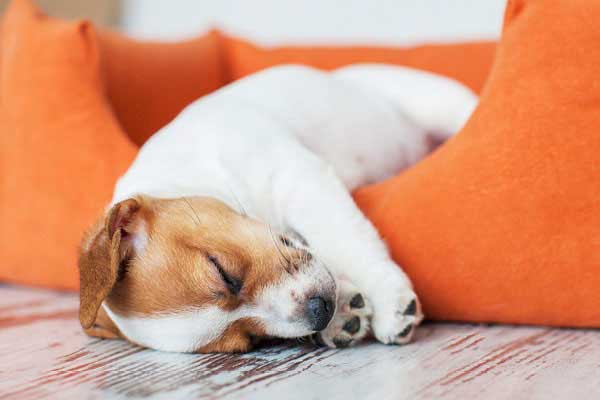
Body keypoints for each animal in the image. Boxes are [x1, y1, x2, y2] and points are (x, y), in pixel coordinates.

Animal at [77, 65, 476, 354]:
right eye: (250, 341)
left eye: (221, 271)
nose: (321, 310)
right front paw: (343, 313)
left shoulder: (300, 180)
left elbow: (346, 241)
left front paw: (386, 296)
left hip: (426, 97)